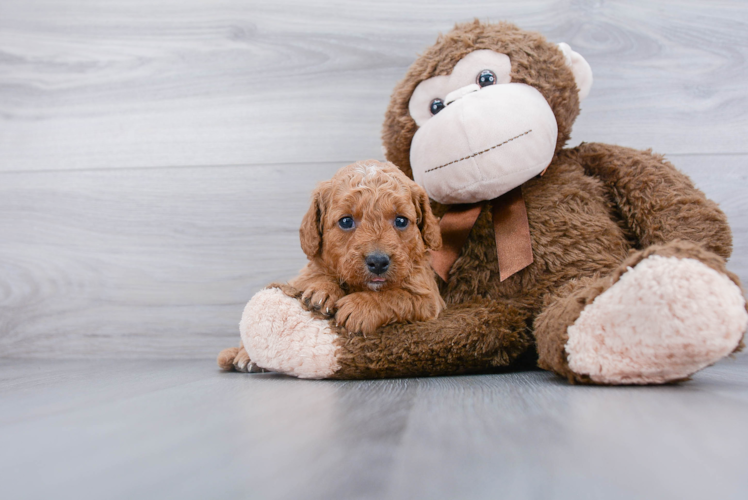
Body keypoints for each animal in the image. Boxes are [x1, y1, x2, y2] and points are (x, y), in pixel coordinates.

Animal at [219, 160, 448, 372]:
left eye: (401, 221)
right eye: (346, 221)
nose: (378, 262)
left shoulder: (429, 298)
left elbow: (397, 296)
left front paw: (360, 307)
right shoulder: (305, 275)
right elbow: (317, 275)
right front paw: (323, 290)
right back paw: (244, 357)